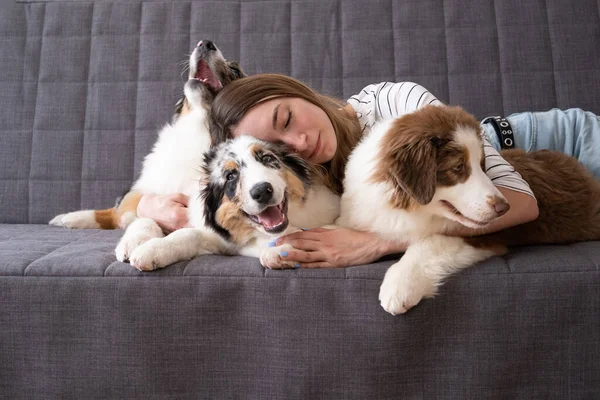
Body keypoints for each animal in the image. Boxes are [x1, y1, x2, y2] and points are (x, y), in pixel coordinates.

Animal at [49, 39, 244, 231]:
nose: (205, 43)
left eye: (235, 70)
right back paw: (67, 218)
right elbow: (122, 210)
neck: (200, 126)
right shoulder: (143, 189)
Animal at [336, 105, 600, 316]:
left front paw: (399, 287)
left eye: (483, 166)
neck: (404, 205)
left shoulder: (482, 234)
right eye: (458, 167)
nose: (504, 208)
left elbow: (429, 242)